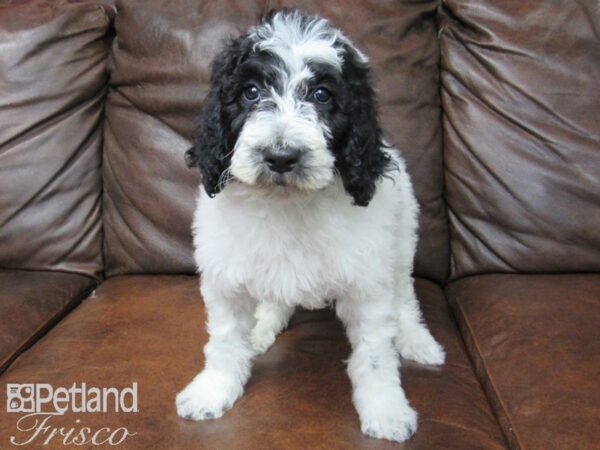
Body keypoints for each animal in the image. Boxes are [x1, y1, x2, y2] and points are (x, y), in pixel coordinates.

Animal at [176, 8, 442, 442]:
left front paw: (385, 409)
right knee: (275, 298)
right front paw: (213, 390)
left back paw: (417, 339)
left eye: (322, 96)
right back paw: (262, 327)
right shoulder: (225, 277)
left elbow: (374, 354)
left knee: (404, 296)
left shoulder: (368, 285)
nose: (281, 157)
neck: (288, 204)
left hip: (403, 239)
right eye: (251, 92)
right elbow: (225, 340)